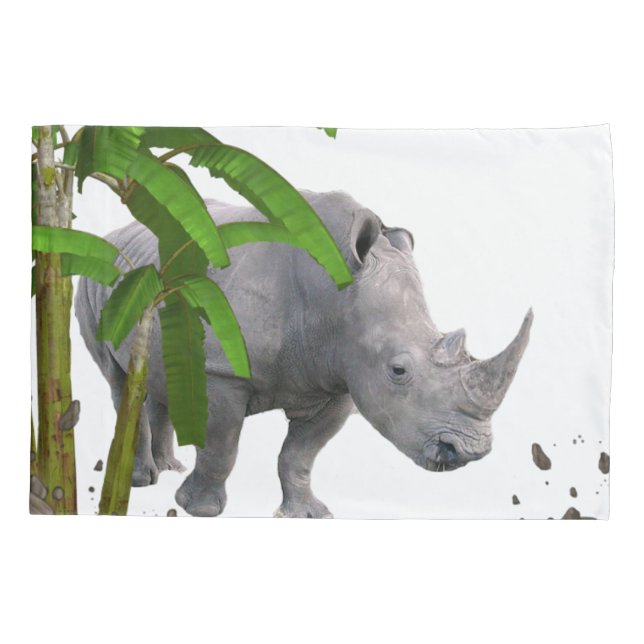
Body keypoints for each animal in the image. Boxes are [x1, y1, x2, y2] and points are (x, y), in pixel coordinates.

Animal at [75, 190, 532, 518]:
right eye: (398, 370)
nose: (469, 452)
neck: (334, 297)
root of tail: (118, 234)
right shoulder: (222, 372)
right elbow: (222, 446)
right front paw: (199, 510)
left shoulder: (341, 378)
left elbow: (299, 455)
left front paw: (307, 514)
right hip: (95, 282)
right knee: (120, 381)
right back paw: (141, 480)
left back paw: (170, 468)